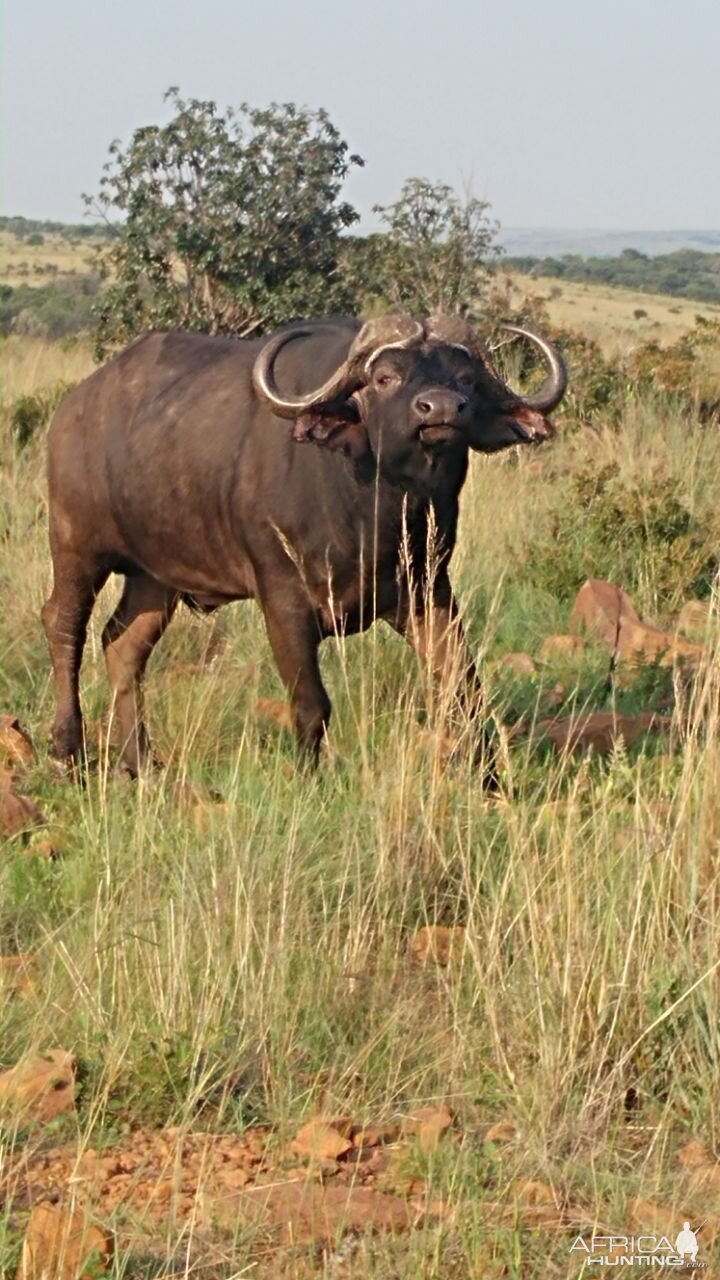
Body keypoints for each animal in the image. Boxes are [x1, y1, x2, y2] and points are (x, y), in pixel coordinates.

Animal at [41, 314, 566, 773]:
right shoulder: (283, 601)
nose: (440, 408)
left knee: (122, 645)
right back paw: (69, 748)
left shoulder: (426, 591)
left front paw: (490, 777)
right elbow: (312, 704)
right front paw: (311, 778)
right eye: (384, 378)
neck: (375, 513)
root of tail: (73, 407)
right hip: (76, 549)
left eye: (467, 380)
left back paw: (140, 762)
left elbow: (465, 688)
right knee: (64, 625)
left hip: (155, 577)